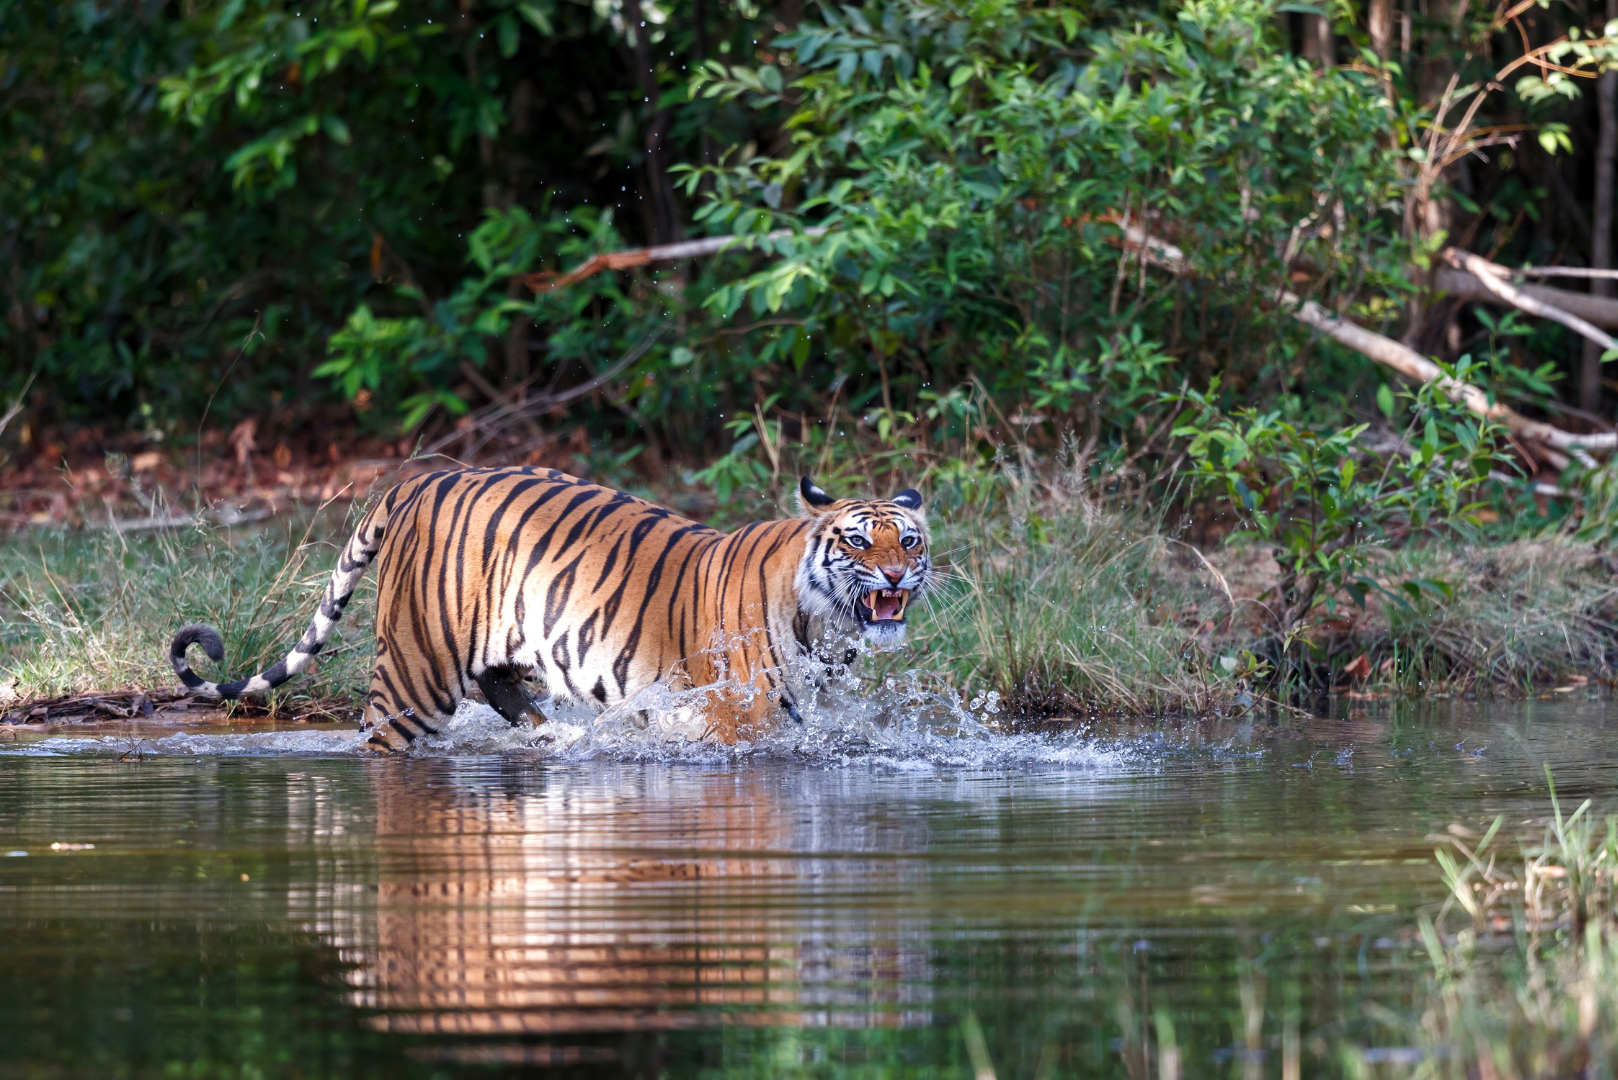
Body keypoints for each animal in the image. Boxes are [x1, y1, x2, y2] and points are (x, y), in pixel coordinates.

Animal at [169, 468, 934, 750]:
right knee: (384, 732)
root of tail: (425, 476)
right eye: (859, 541)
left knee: (504, 691)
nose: (897, 573)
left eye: (909, 538)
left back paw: (552, 736)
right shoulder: (738, 717)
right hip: (416, 669)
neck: (827, 624)